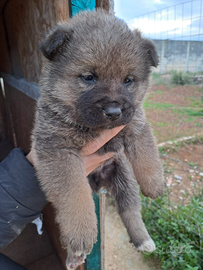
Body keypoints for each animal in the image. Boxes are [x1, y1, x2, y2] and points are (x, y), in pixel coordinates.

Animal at [31, 8, 165, 270]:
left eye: (128, 80)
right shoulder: (58, 151)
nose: (114, 112)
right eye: (88, 77)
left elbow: (148, 155)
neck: (92, 128)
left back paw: (143, 239)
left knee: (130, 210)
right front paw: (81, 234)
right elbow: (75, 198)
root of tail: (98, 183)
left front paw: (155, 183)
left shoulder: (136, 125)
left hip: (123, 177)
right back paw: (74, 256)